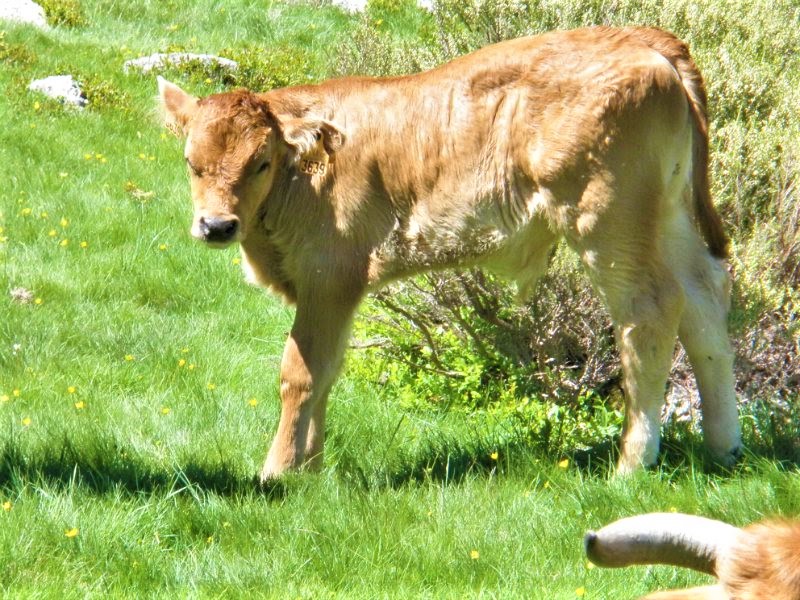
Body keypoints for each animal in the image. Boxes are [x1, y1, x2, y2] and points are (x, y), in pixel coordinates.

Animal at [158, 25, 744, 480]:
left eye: (261, 162)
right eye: (191, 161)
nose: (216, 225)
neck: (306, 171)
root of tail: (642, 39)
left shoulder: (329, 277)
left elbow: (301, 373)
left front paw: (278, 473)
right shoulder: (332, 292)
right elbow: (325, 373)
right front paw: (311, 470)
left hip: (608, 223)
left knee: (650, 313)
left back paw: (631, 464)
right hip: (666, 217)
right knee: (704, 300)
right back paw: (724, 448)